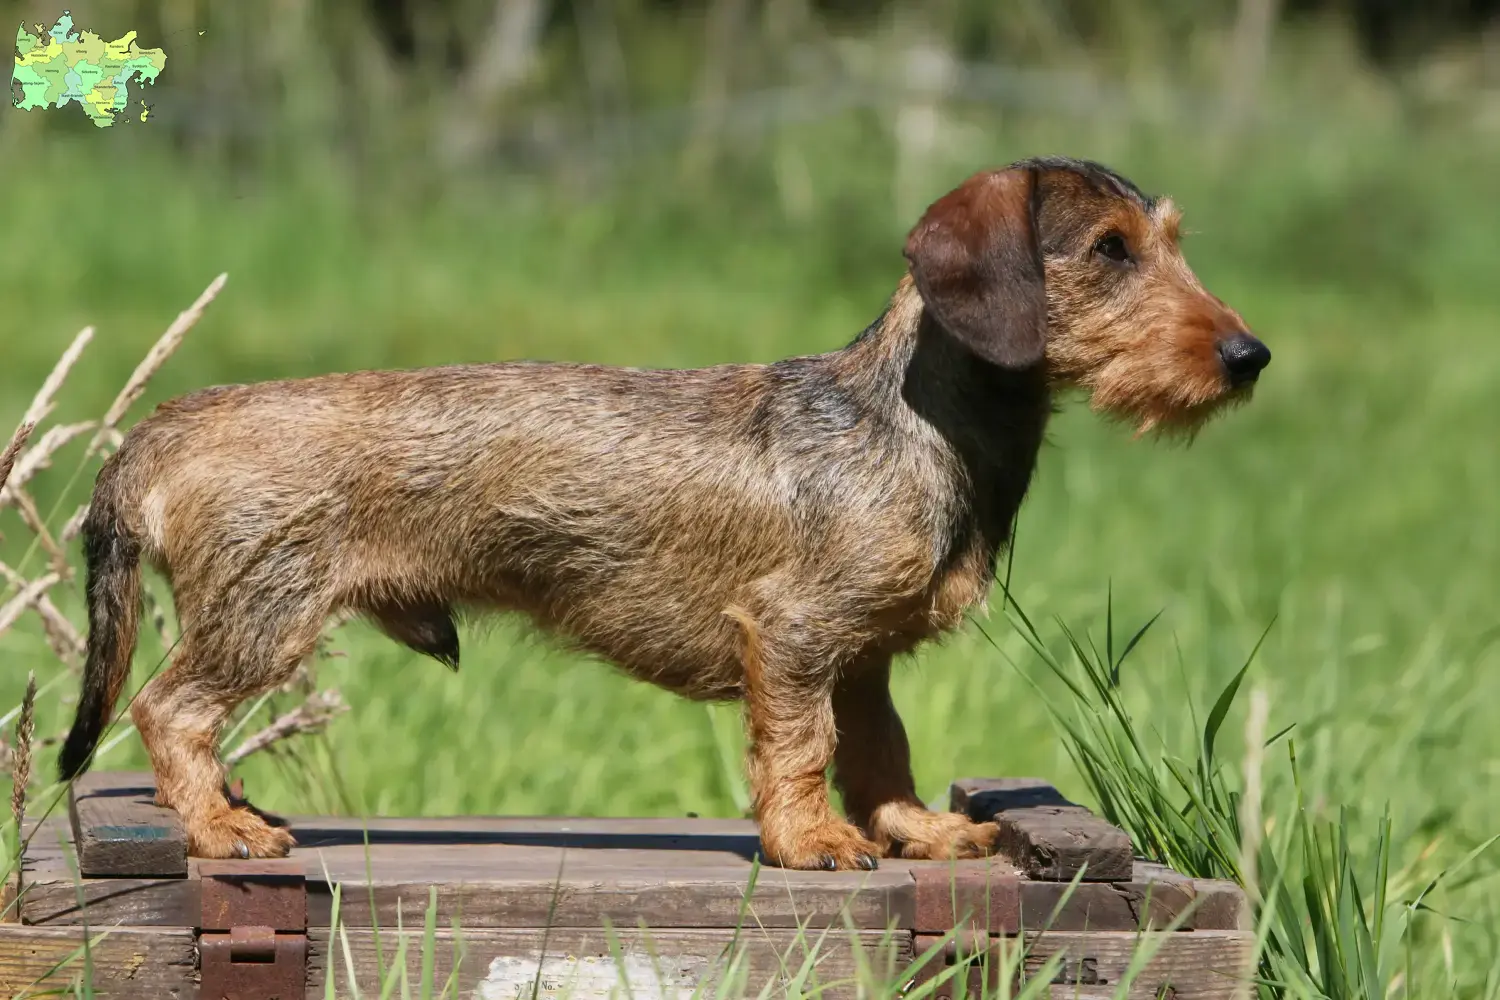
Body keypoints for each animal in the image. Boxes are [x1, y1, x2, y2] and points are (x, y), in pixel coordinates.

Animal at [64, 154, 1272, 869]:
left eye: (1170, 239)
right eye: (1110, 250)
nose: (1249, 356)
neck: (908, 417)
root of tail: (162, 429)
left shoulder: (863, 658)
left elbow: (882, 751)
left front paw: (914, 830)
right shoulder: (793, 637)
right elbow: (801, 746)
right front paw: (810, 840)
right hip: (263, 616)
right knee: (169, 711)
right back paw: (219, 827)